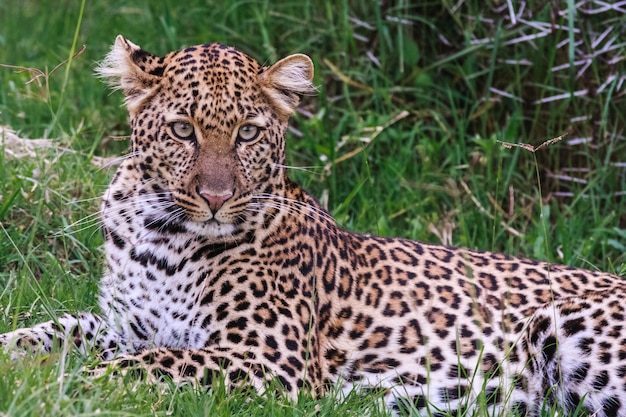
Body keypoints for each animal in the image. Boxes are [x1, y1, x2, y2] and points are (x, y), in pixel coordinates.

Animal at [1, 35, 624, 416]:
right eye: (182, 130)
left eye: (248, 133)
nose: (215, 198)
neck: (161, 237)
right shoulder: (124, 323)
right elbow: (57, 330)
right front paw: (19, 358)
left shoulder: (270, 360)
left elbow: (148, 364)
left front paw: (77, 385)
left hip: (571, 333)